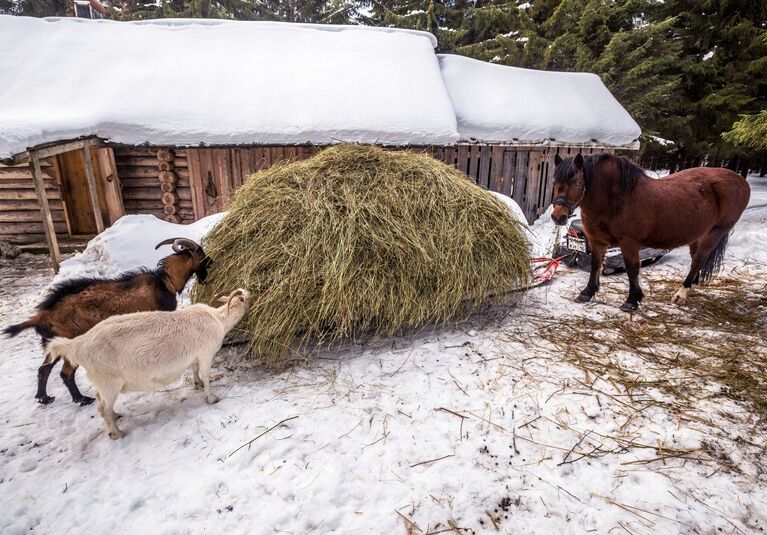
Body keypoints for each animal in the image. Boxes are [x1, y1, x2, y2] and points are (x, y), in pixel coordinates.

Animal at [3, 239, 213, 406]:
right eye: (200, 253)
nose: (211, 262)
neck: (165, 281)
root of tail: (41, 315)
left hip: (52, 344)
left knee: (44, 369)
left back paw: (44, 398)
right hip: (69, 343)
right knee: (64, 373)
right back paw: (81, 399)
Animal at [44, 288, 252, 440]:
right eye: (246, 297)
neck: (219, 319)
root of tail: (78, 345)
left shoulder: (195, 357)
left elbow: (195, 371)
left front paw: (197, 385)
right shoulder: (205, 354)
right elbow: (206, 376)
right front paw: (212, 398)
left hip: (101, 382)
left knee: (101, 402)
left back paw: (116, 416)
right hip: (110, 382)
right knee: (103, 409)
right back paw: (117, 434)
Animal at [548, 155, 752, 312]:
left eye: (577, 182)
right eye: (555, 182)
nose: (558, 216)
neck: (616, 200)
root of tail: (740, 181)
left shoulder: (629, 243)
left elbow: (632, 270)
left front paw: (632, 300)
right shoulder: (596, 241)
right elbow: (595, 265)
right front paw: (587, 293)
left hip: (716, 232)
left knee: (699, 259)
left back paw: (681, 294)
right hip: (698, 233)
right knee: (696, 258)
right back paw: (692, 284)